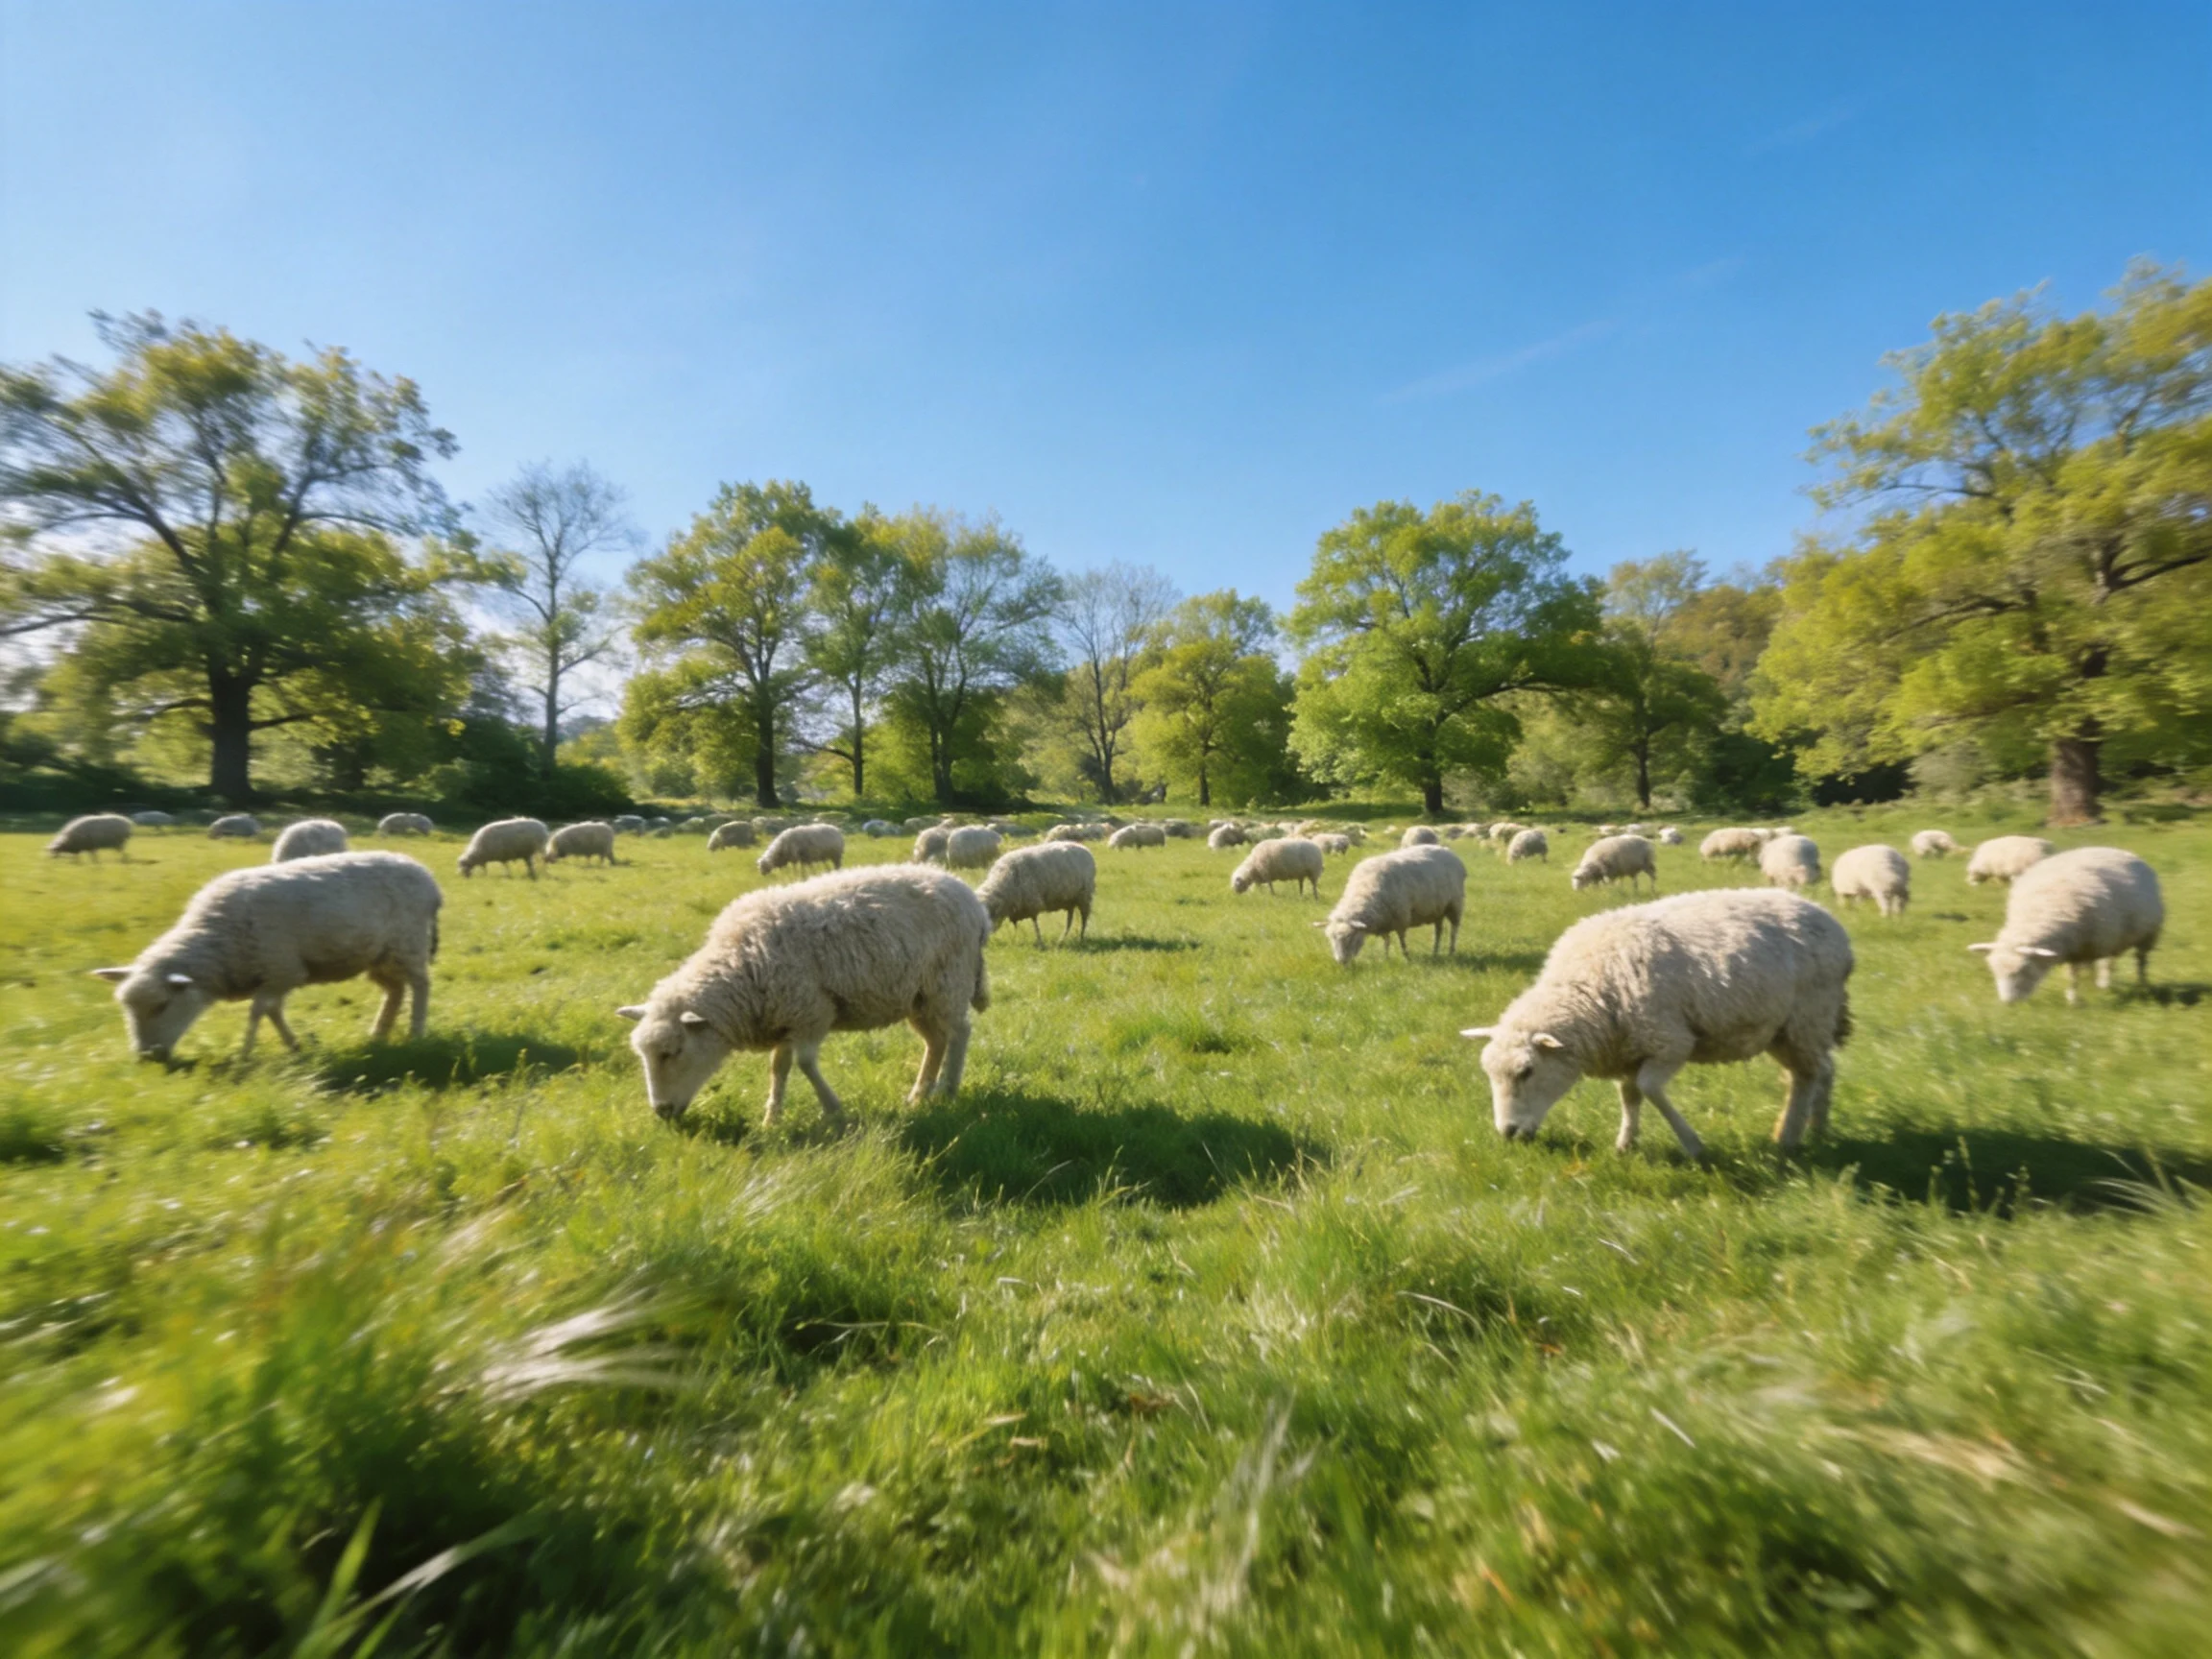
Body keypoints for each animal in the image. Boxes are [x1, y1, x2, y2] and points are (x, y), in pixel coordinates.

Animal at [92, 851, 442, 1061]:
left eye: (162, 1005)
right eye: (127, 1009)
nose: (146, 1058)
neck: (219, 938)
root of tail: (425, 875)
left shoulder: (283, 969)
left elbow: (258, 1011)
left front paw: (245, 1053)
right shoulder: (276, 975)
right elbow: (273, 1011)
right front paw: (294, 1047)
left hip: (408, 944)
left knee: (421, 985)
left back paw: (416, 1032)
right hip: (379, 955)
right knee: (395, 991)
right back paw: (378, 1034)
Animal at [617, 864, 991, 1126]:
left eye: (672, 1052)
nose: (661, 1111)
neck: (742, 966)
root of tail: (969, 897)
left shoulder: (812, 1010)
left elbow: (805, 1063)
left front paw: (833, 1109)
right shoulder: (785, 1016)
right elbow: (778, 1067)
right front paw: (772, 1118)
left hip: (948, 983)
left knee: (959, 1033)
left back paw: (948, 1088)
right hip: (919, 997)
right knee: (936, 1041)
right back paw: (919, 1095)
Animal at [1315, 845, 1466, 964]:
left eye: (1349, 938)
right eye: (1331, 938)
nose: (1341, 962)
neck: (1366, 891)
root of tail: (1449, 851)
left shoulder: (1401, 918)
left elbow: (1402, 941)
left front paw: (1407, 958)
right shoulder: (1385, 921)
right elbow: (1386, 941)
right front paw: (1386, 958)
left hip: (1455, 904)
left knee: (1454, 930)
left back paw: (1451, 952)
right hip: (1438, 910)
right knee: (1438, 931)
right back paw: (1435, 952)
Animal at [1462, 887, 1854, 1157]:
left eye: (1527, 1071)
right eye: (1488, 1074)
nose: (1508, 1133)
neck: (1590, 991)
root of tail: (1826, 917)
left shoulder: (1669, 1041)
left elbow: (1649, 1088)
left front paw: (1693, 1145)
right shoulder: (1627, 1047)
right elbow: (1629, 1095)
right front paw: (1625, 1144)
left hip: (1808, 1016)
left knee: (1807, 1075)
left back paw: (1790, 1137)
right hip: (1787, 1029)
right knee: (1823, 1069)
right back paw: (1817, 1130)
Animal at [1969, 847, 2163, 1006]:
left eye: (2023, 969)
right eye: (1994, 971)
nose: (2008, 1003)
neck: (2037, 913)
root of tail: (2125, 853)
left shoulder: (2079, 948)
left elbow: (2072, 976)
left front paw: (2073, 1001)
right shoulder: (2081, 945)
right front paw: (2083, 991)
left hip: (2147, 933)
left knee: (2140, 961)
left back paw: (2142, 984)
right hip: (2112, 935)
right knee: (2108, 961)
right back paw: (2103, 983)